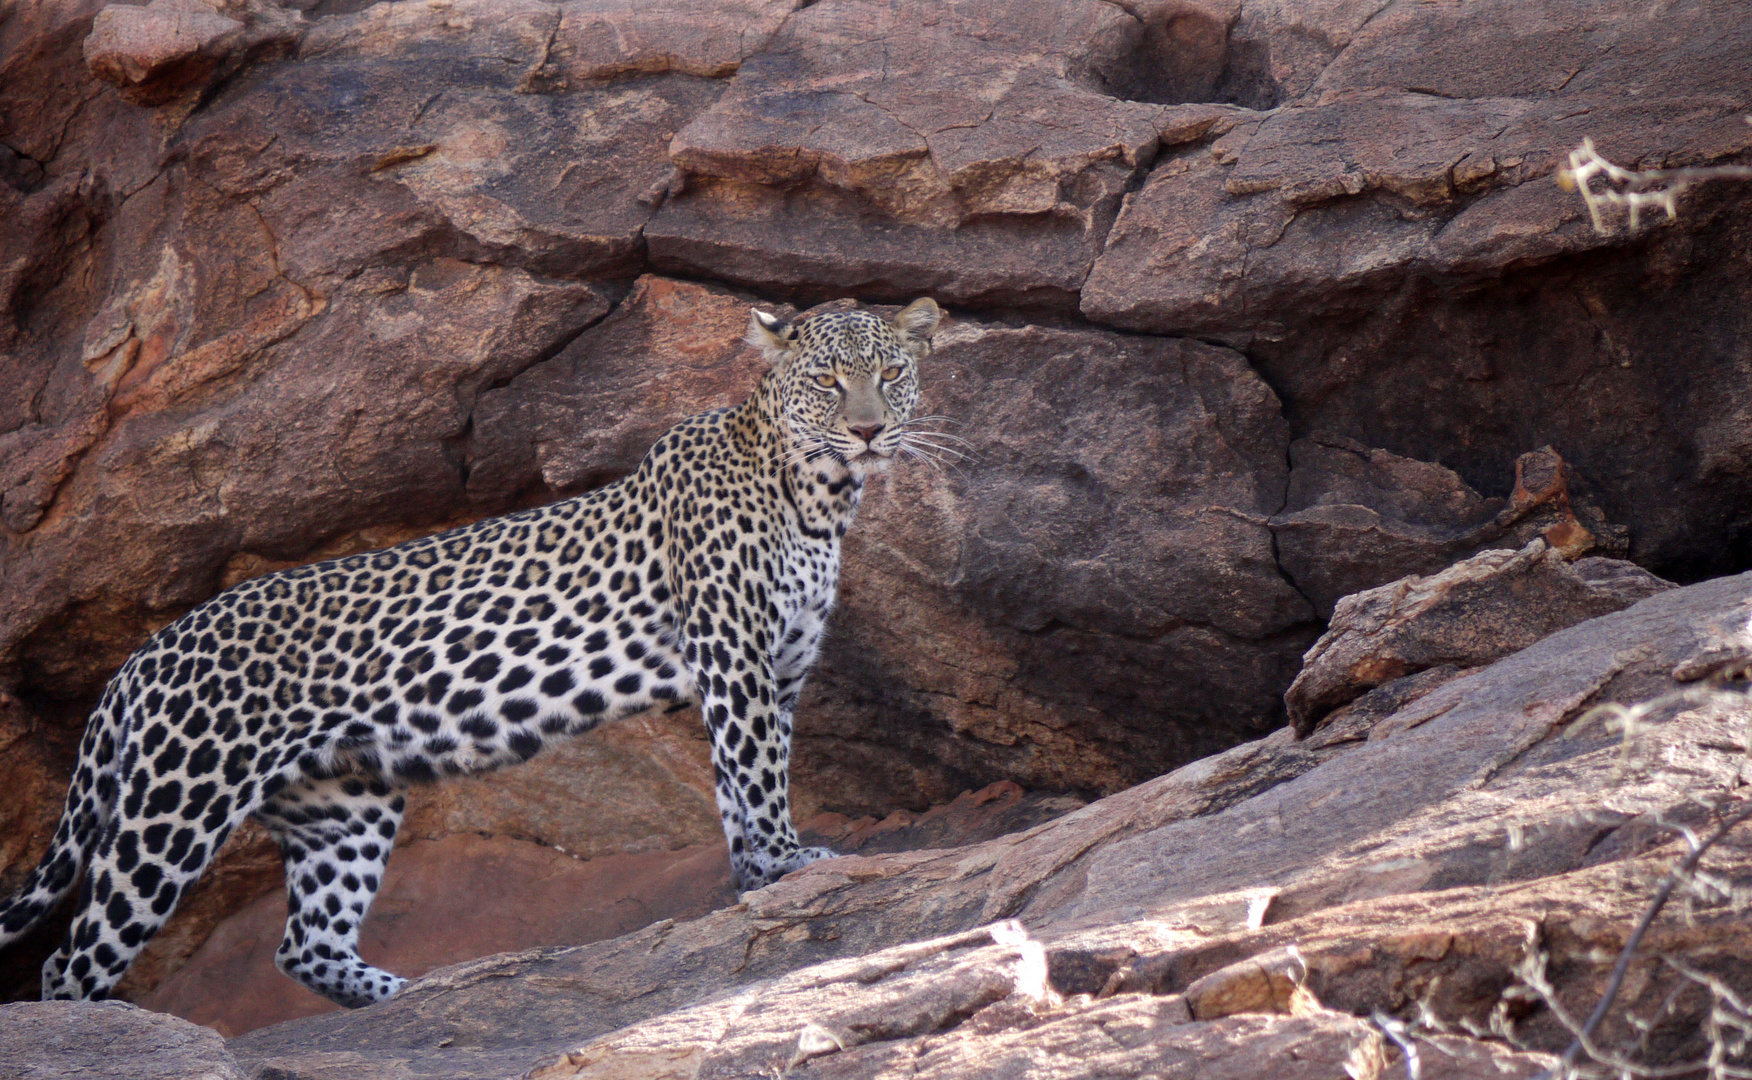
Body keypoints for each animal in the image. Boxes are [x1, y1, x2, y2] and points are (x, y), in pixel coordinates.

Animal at [0, 292, 946, 1002]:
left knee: (304, 944)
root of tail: (139, 658)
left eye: (891, 375)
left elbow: (740, 783)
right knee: (70, 959)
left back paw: (415, 993)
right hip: (176, 802)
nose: (869, 432)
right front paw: (787, 861)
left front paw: (756, 879)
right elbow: (755, 770)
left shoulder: (776, 671)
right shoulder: (735, 656)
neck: (818, 494)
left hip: (345, 803)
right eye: (828, 382)